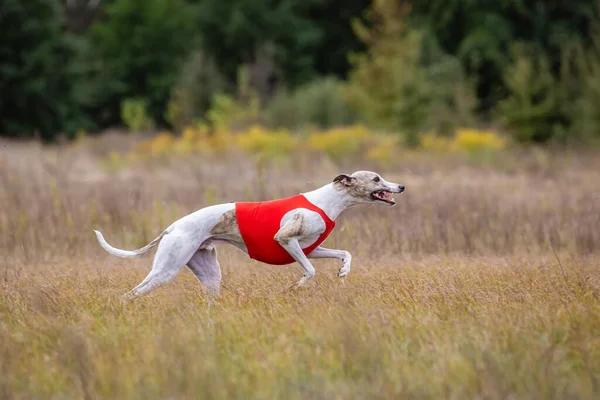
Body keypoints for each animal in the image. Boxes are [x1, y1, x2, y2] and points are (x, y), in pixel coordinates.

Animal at [95, 170, 404, 298]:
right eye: (376, 178)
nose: (401, 186)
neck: (330, 200)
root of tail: (172, 226)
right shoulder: (286, 239)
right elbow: (310, 270)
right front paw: (296, 287)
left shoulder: (310, 247)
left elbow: (343, 253)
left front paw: (343, 270)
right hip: (167, 268)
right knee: (132, 293)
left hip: (209, 273)